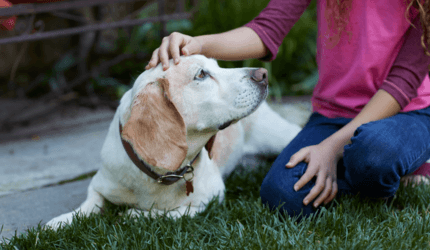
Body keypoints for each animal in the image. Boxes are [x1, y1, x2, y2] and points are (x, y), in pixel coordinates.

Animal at [46, 54, 302, 229]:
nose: (263, 74)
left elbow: (173, 212)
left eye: (218, 65)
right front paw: (60, 222)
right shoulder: (99, 184)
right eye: (201, 74)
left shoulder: (210, 199)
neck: (159, 175)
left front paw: (135, 215)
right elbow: (89, 204)